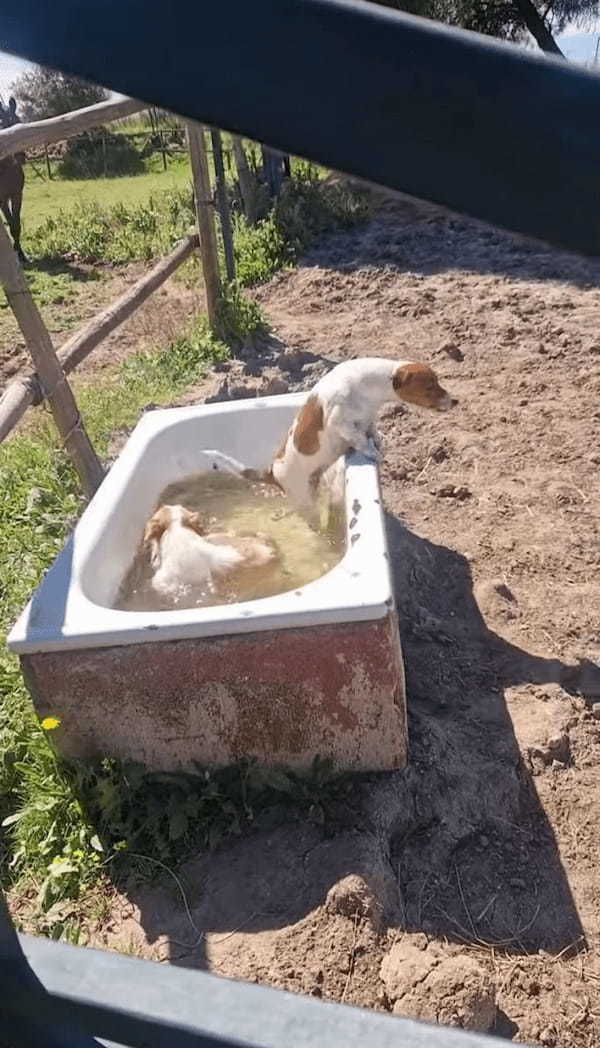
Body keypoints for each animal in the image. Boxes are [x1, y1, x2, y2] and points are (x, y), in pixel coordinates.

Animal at [255, 358, 456, 521]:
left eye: (437, 382)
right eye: (429, 387)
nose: (455, 402)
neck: (367, 385)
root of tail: (272, 471)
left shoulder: (368, 420)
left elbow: (371, 431)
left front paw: (378, 442)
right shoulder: (341, 423)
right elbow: (360, 440)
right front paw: (374, 453)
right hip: (302, 497)